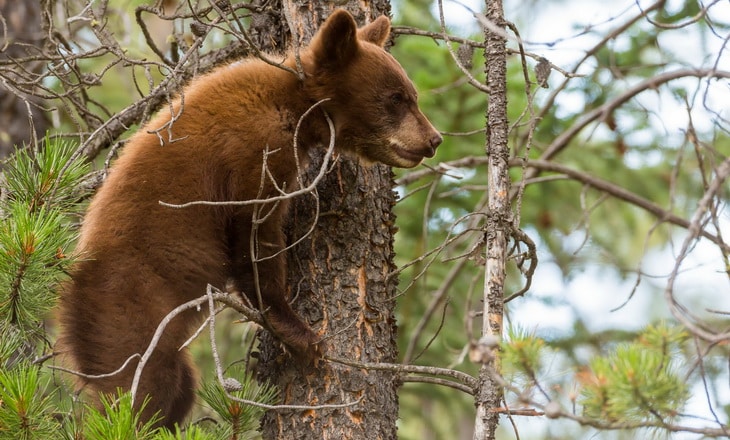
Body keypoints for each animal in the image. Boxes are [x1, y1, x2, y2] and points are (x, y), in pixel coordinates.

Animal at [55, 8, 438, 432]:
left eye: (412, 95)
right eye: (396, 99)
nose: (434, 139)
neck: (292, 101)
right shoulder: (257, 151)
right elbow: (255, 240)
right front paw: (301, 334)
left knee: (178, 389)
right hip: (130, 311)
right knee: (142, 391)